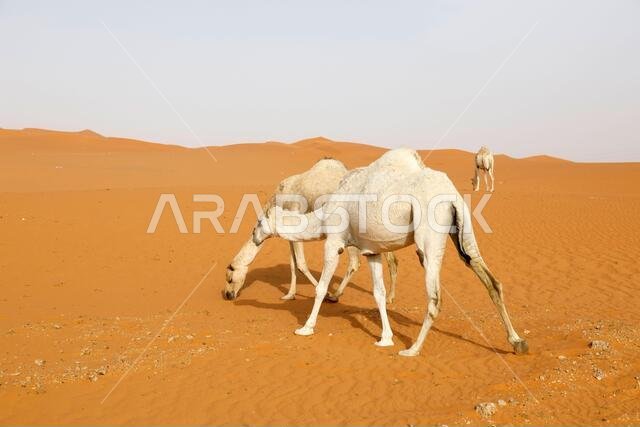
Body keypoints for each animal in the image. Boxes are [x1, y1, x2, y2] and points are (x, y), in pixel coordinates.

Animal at [223, 157, 398, 302]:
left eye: (229, 278)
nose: (227, 294)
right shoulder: (289, 235)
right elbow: (293, 264)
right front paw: (289, 295)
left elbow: (301, 264)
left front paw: (324, 294)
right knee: (391, 259)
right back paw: (390, 297)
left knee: (355, 263)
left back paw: (335, 295)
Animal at [253, 148, 528, 357]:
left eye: (257, 222)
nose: (255, 238)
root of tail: (451, 196)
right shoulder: (371, 251)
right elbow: (379, 293)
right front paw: (385, 338)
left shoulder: (333, 241)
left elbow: (321, 287)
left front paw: (306, 328)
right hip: (464, 230)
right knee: (490, 279)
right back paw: (516, 341)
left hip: (428, 236)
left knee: (435, 297)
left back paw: (413, 349)